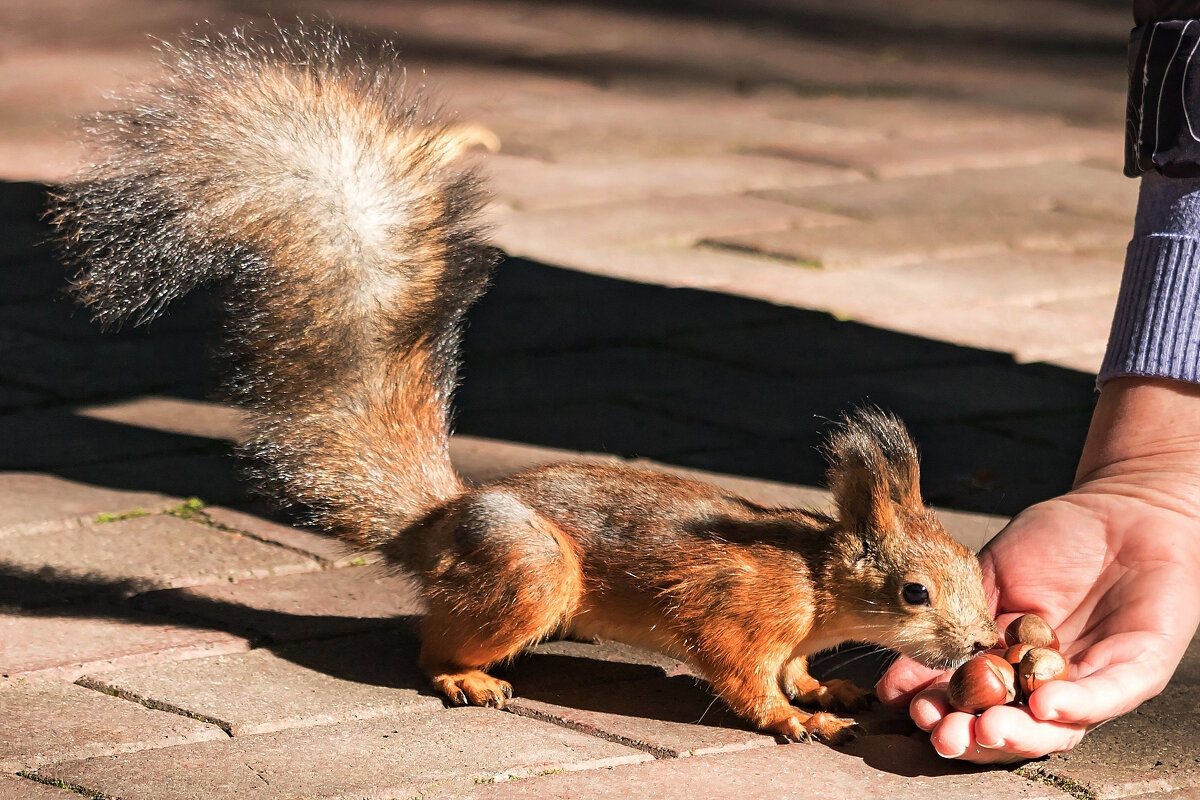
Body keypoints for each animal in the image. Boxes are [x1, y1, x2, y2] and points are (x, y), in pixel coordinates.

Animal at [51, 20, 998, 743]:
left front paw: (821, 688)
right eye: (914, 591)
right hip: (528, 572)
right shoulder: (736, 611)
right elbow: (739, 673)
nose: (984, 643)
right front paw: (794, 717)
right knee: (431, 642)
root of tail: (435, 525)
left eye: (970, 567)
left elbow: (796, 666)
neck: (814, 578)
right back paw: (465, 678)